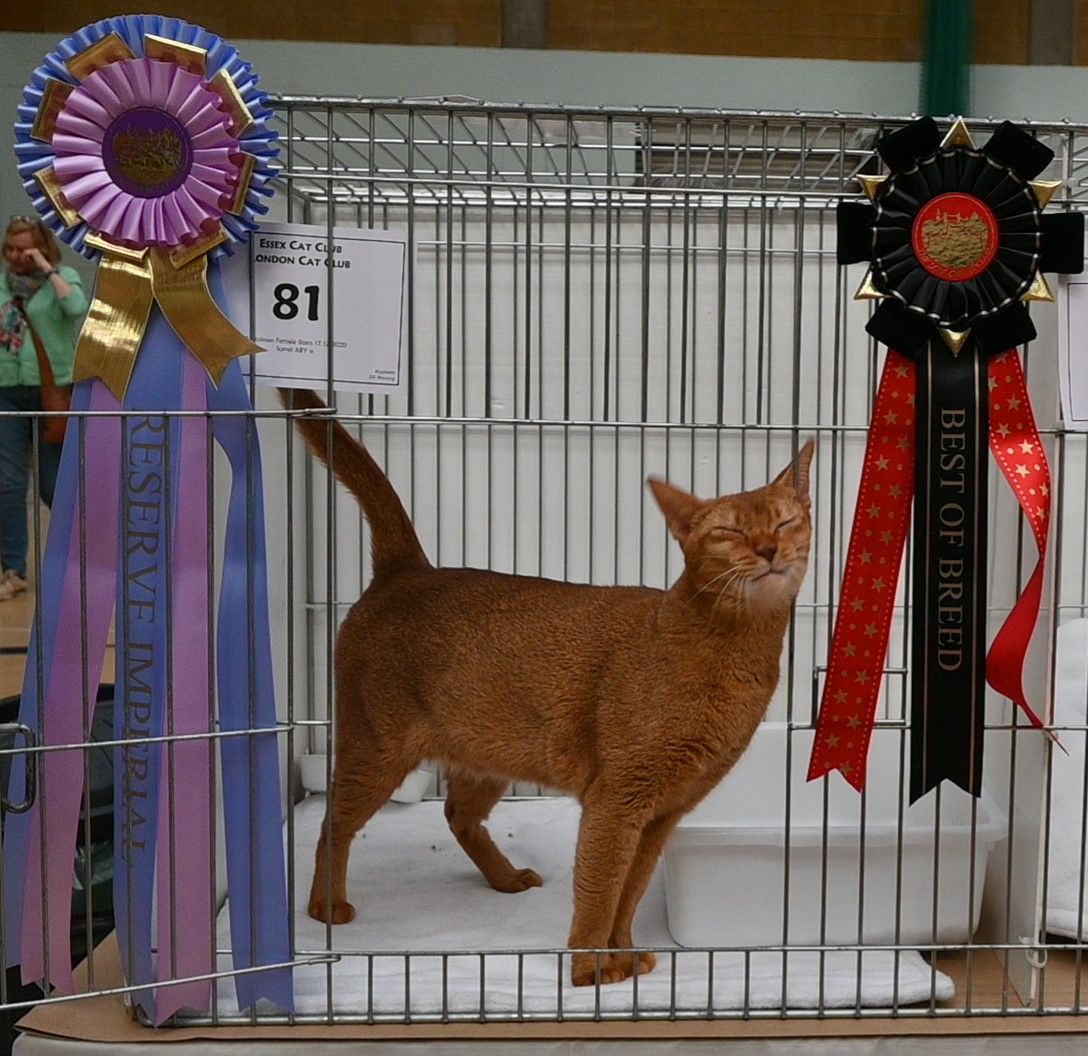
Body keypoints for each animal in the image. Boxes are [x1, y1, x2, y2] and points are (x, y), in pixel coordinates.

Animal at [285, 389, 813, 991]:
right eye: (729, 533)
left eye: (787, 521)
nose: (769, 549)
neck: (730, 653)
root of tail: (408, 571)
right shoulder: (617, 800)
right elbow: (600, 891)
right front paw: (589, 969)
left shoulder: (662, 814)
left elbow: (629, 894)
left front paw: (623, 954)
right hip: (376, 747)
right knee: (331, 823)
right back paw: (326, 906)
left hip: (488, 751)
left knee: (456, 815)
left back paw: (505, 878)